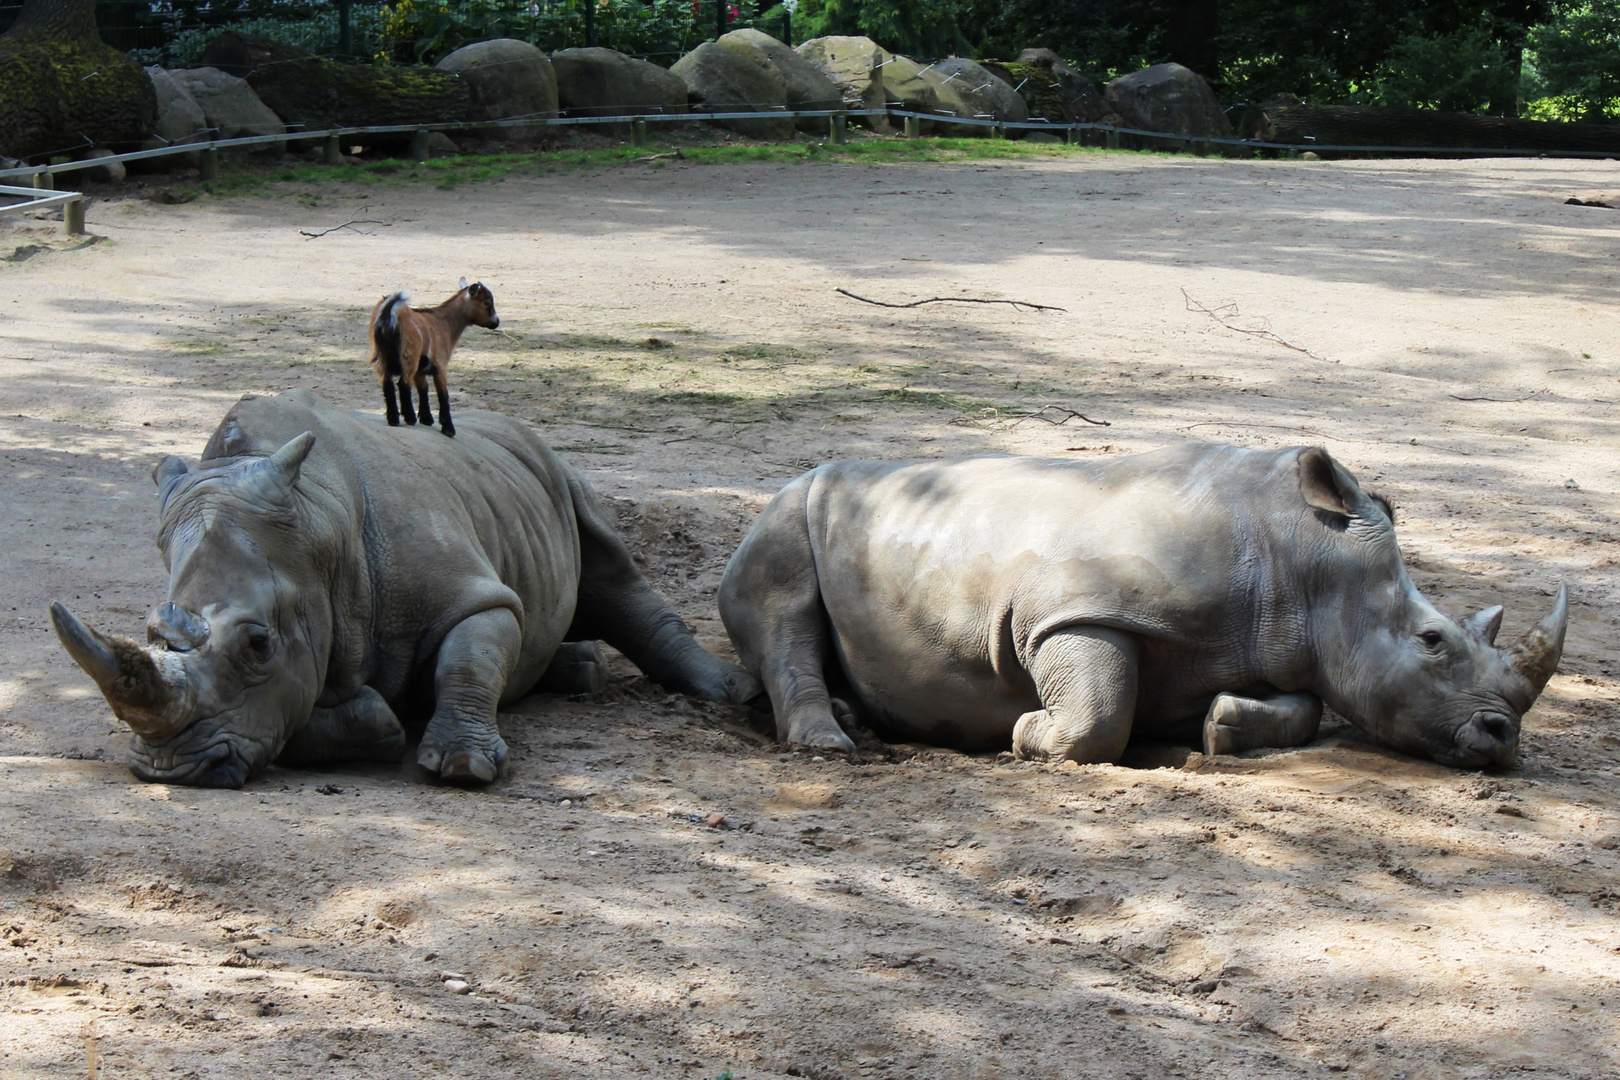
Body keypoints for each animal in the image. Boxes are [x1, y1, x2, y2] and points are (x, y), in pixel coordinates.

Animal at [50, 388, 758, 786]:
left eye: (257, 645)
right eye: (149, 632)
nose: (172, 771)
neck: (318, 532)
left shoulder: (474, 594)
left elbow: (469, 655)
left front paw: (465, 767)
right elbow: (304, 711)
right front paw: (382, 721)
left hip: (555, 467)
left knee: (613, 573)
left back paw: (735, 695)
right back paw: (580, 671)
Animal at [369, 278, 498, 440]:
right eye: (486, 302)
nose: (496, 322)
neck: (443, 323)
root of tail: (388, 312)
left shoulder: (420, 370)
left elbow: (423, 388)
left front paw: (426, 419)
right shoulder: (440, 365)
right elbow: (443, 394)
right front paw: (448, 429)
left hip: (380, 355)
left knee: (387, 383)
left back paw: (393, 419)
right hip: (409, 354)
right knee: (403, 383)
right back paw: (409, 418)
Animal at [719, 446, 1555, 767]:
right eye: (1433, 641)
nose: (1502, 736)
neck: (1302, 558)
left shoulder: (1261, 644)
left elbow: (1305, 704)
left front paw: (1221, 727)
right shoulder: (1072, 612)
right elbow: (1100, 710)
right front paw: (1024, 733)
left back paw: (852, 720)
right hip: (787, 511)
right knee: (782, 605)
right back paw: (830, 745)